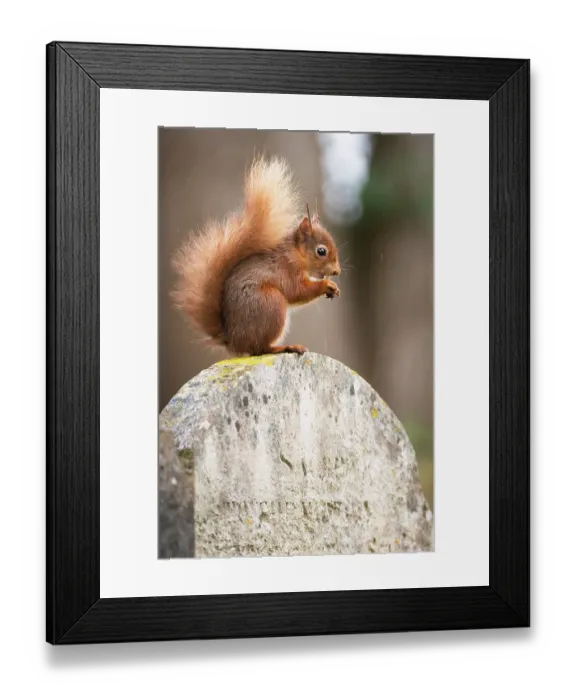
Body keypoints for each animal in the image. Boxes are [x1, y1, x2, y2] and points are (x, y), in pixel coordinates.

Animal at [171, 156, 341, 357]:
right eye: (321, 251)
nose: (337, 271)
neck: (296, 253)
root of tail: (235, 342)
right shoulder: (288, 268)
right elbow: (297, 291)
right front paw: (326, 285)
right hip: (270, 303)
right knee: (260, 349)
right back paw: (285, 347)